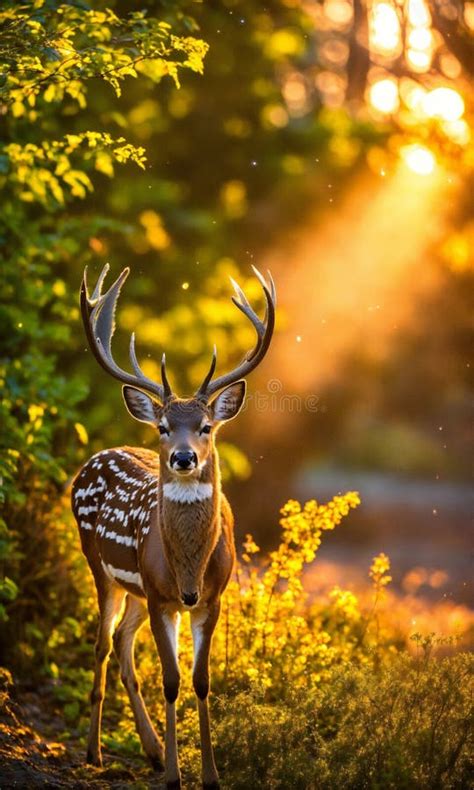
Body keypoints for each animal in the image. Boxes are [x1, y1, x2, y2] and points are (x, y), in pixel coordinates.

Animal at [72, 264, 276, 790]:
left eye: (206, 426)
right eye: (163, 427)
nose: (183, 457)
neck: (188, 571)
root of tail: (92, 460)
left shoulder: (210, 598)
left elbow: (201, 682)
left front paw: (209, 774)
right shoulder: (163, 596)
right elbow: (171, 680)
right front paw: (173, 776)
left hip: (138, 590)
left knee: (123, 642)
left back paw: (148, 750)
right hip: (102, 568)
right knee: (102, 644)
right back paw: (94, 751)